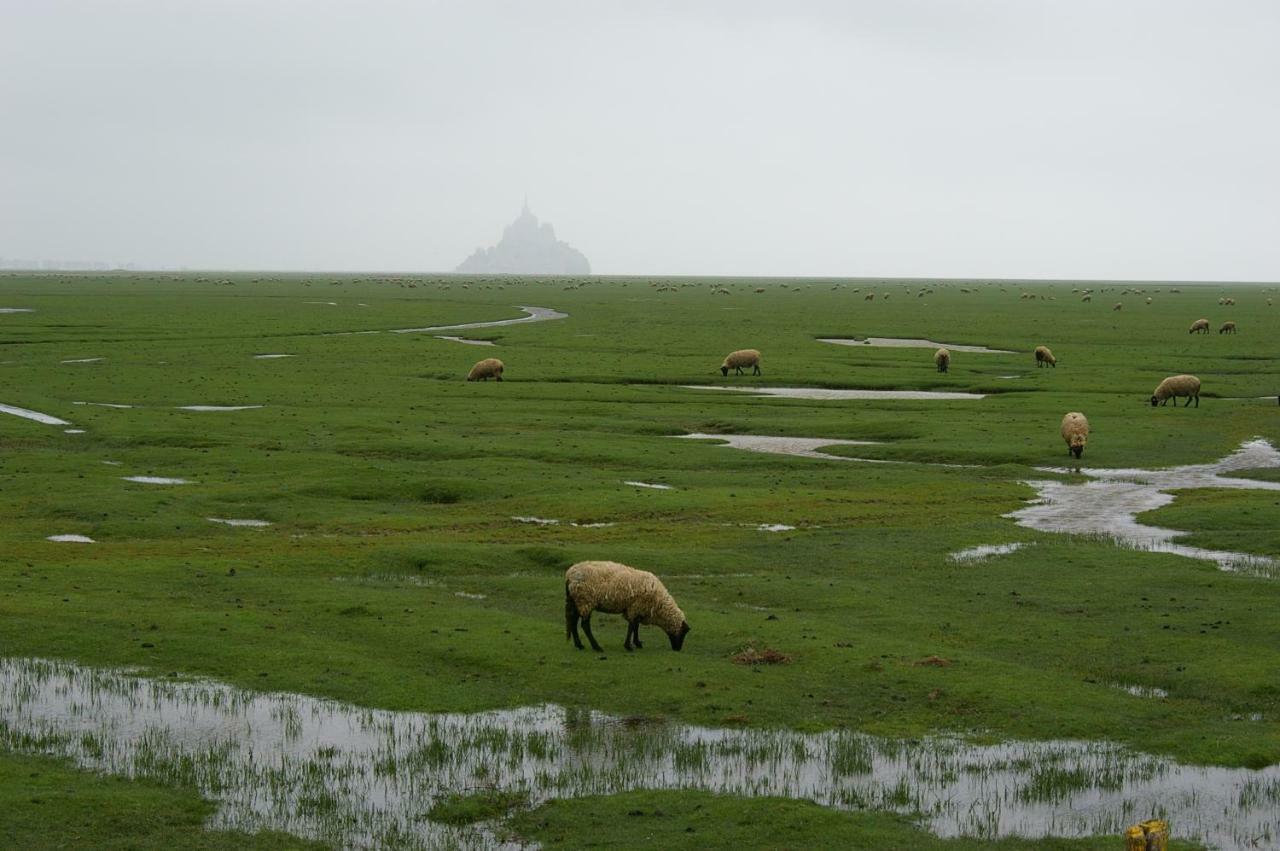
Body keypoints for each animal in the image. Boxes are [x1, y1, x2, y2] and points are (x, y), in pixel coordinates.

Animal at [568, 560, 696, 652]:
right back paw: (596, 647)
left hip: (576, 602)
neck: (658, 605)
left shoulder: (637, 608)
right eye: (683, 633)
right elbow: (632, 626)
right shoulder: (635, 607)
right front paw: (628, 646)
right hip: (585, 601)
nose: (677, 649)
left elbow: (635, 626)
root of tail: (569, 574)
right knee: (585, 625)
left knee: (573, 622)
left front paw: (636, 642)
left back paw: (579, 645)